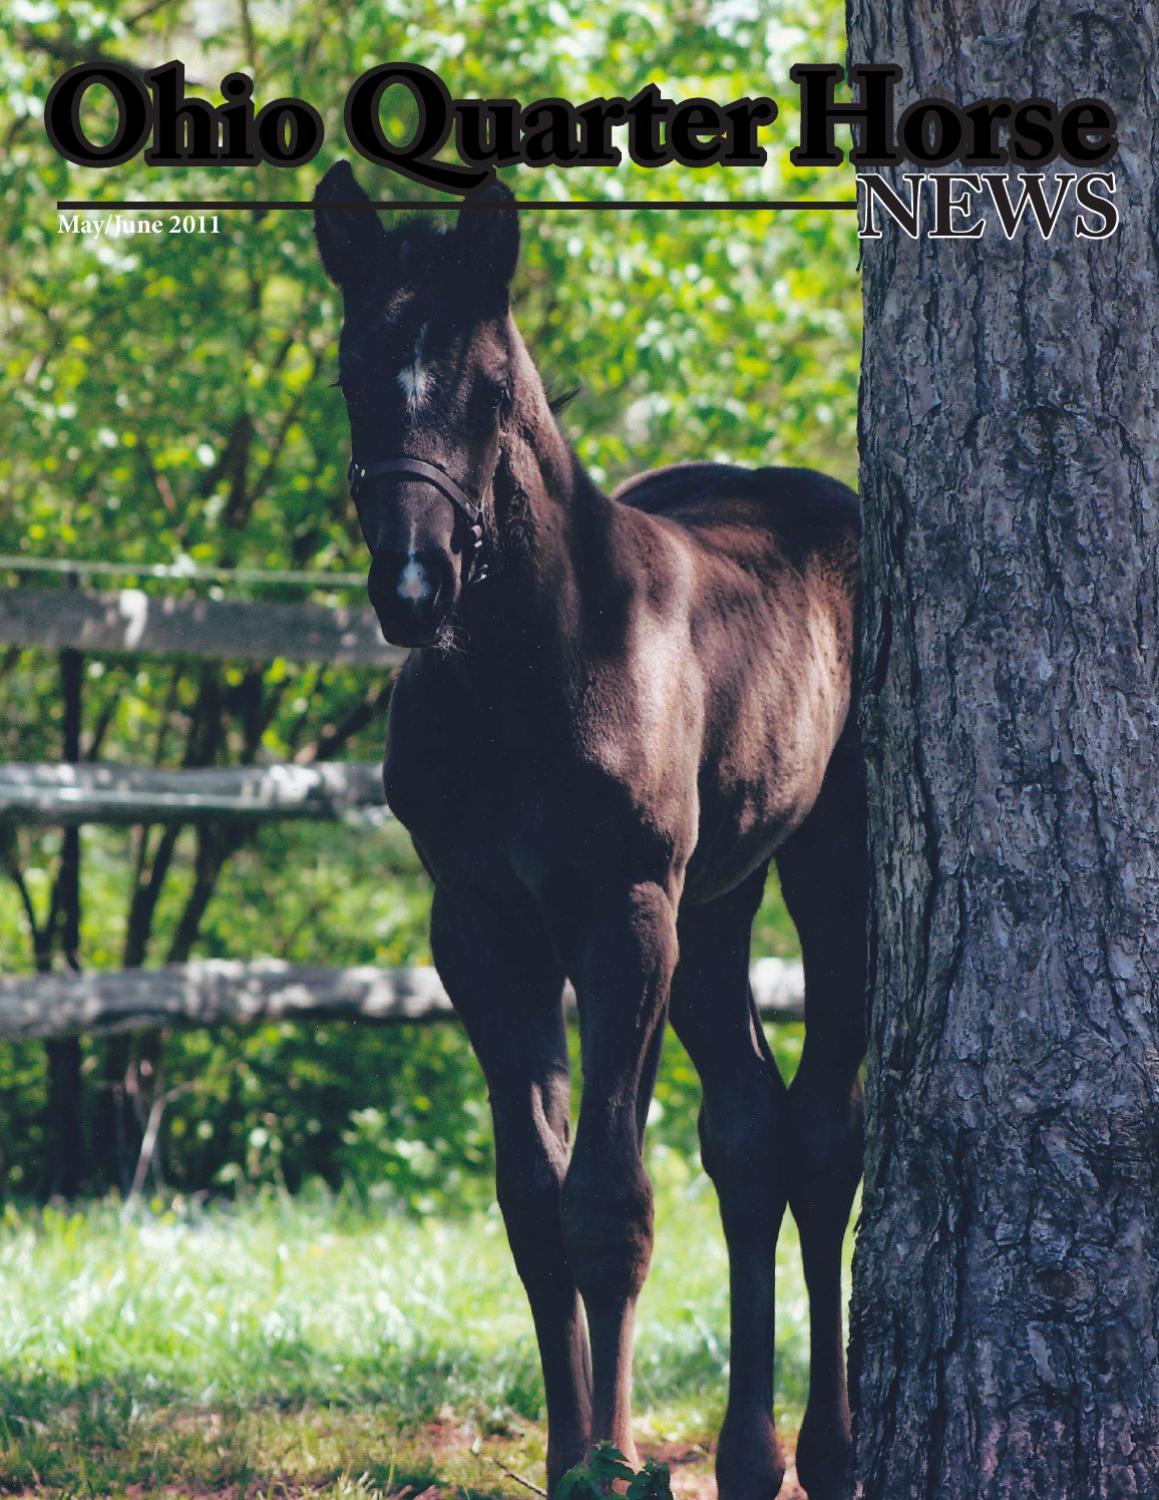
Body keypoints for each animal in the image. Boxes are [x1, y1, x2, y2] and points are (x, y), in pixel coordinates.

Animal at [313, 160, 866, 1500]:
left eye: (489, 388)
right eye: (353, 377)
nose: (412, 587)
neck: (528, 664)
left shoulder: (621, 911)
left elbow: (606, 1205)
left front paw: (612, 1462)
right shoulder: (478, 925)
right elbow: (531, 1204)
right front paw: (576, 1453)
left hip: (824, 865)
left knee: (823, 1134)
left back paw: (826, 1453)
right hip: (714, 907)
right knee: (749, 1133)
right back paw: (747, 1457)